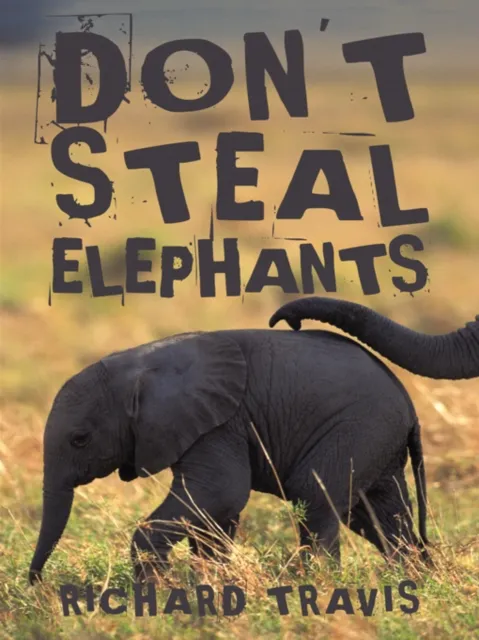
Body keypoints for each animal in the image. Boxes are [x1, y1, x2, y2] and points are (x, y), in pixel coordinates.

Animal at [29, 320, 439, 585]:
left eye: (80, 439)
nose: (37, 583)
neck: (139, 366)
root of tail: (409, 406)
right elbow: (215, 511)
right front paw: (210, 585)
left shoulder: (220, 423)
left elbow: (220, 494)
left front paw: (157, 590)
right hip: (377, 440)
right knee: (379, 514)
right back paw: (416, 579)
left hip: (358, 427)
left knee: (314, 496)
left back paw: (319, 585)